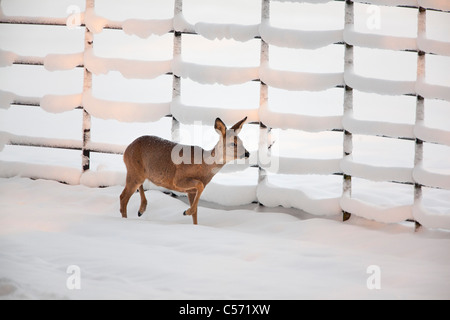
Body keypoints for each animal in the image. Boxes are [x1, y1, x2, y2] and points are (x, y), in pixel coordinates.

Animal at [119, 117, 250, 225]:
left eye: (242, 142)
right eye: (233, 143)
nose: (247, 153)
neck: (204, 165)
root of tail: (126, 150)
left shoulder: (191, 191)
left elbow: (196, 211)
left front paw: (193, 221)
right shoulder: (178, 179)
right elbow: (200, 186)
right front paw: (186, 212)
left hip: (138, 173)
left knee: (135, 189)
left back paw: (141, 210)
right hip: (134, 171)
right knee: (123, 197)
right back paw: (126, 219)